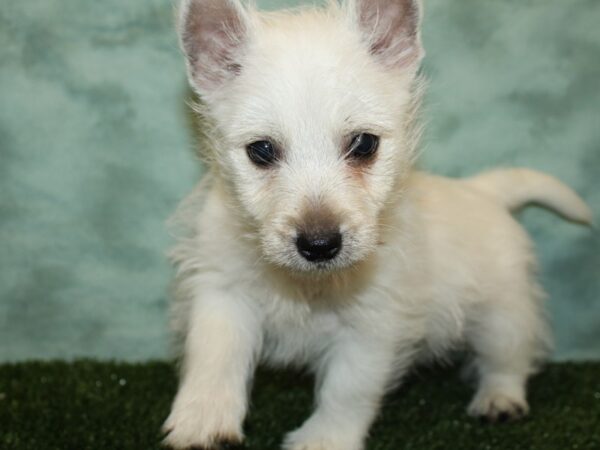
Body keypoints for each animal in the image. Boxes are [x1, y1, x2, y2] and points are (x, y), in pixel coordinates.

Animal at [162, 0, 592, 450]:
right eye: (261, 150)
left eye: (364, 144)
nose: (319, 244)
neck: (306, 286)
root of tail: (483, 191)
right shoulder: (221, 292)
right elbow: (214, 358)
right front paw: (202, 420)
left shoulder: (374, 326)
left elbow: (347, 390)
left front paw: (324, 439)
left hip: (503, 316)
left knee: (508, 359)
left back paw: (500, 399)